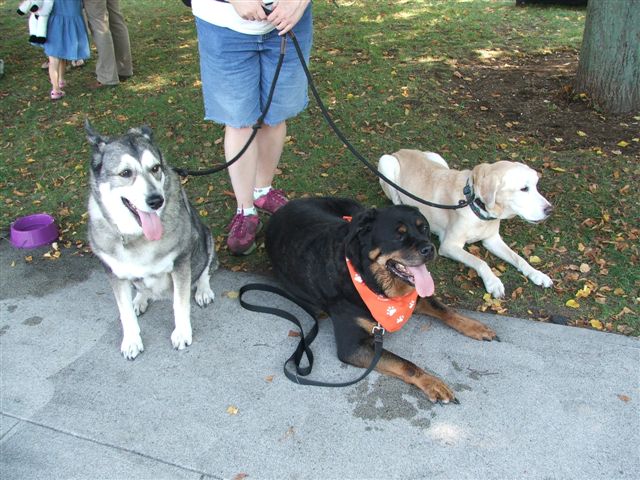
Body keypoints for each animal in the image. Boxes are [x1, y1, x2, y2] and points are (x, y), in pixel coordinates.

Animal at [85, 121, 217, 359]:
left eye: (155, 168)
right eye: (125, 173)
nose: (156, 200)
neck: (137, 237)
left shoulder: (181, 262)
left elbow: (180, 303)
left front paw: (182, 333)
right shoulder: (113, 272)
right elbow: (124, 312)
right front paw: (131, 341)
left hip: (206, 236)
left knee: (204, 270)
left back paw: (203, 290)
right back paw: (140, 299)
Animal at [265, 197, 497, 403]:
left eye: (424, 228)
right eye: (398, 236)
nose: (429, 248)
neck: (370, 278)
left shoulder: (415, 296)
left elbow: (445, 309)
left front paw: (475, 326)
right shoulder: (352, 346)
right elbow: (405, 364)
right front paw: (432, 382)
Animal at [378, 149, 553, 298]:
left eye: (536, 186)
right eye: (524, 189)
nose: (550, 209)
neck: (475, 205)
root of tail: (400, 150)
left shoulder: (492, 240)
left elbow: (518, 258)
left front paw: (537, 274)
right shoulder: (449, 245)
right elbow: (480, 262)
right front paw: (493, 282)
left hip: (437, 158)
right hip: (386, 163)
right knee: (396, 200)